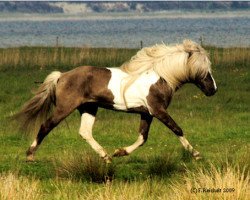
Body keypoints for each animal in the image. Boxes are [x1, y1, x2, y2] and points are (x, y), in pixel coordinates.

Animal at [16, 39, 217, 163]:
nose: (213, 90)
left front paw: (120, 152)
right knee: (45, 126)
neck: (161, 77)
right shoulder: (158, 110)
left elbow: (142, 138)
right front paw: (196, 154)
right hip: (65, 108)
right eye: (204, 70)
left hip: (89, 108)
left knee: (85, 132)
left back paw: (106, 156)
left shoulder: (147, 113)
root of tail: (61, 76)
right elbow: (177, 129)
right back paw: (30, 156)